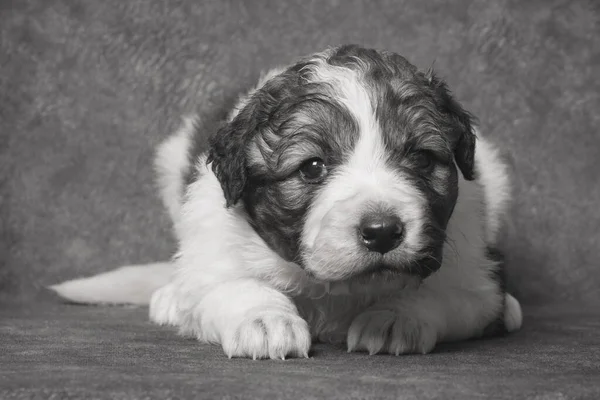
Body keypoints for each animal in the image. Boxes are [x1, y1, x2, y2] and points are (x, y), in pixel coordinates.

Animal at [51, 44, 520, 360]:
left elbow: (444, 295)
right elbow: (231, 284)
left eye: (422, 159)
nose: (383, 232)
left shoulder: (470, 275)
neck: (334, 287)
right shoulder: (214, 237)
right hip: (171, 165)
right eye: (312, 167)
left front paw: (394, 317)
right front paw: (264, 319)